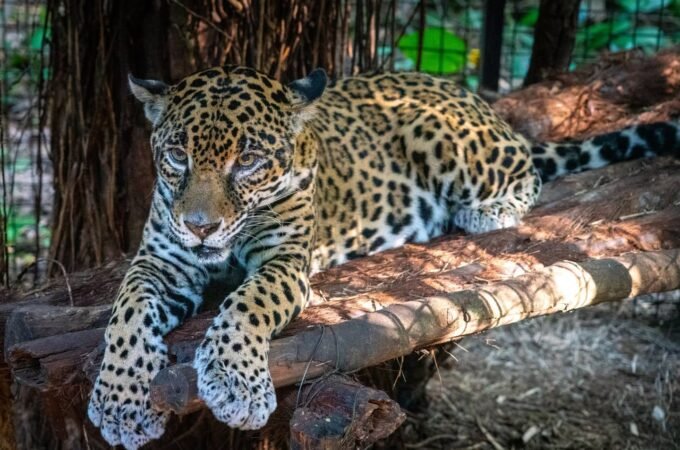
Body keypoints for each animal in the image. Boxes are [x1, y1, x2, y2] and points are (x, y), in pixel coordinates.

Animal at [88, 65, 679, 449]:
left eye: (249, 160)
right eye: (177, 155)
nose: (200, 226)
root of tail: (465, 94)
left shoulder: (285, 263)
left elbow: (247, 303)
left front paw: (235, 381)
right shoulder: (158, 263)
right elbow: (127, 315)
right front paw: (120, 401)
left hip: (447, 139)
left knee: (527, 170)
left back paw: (486, 212)